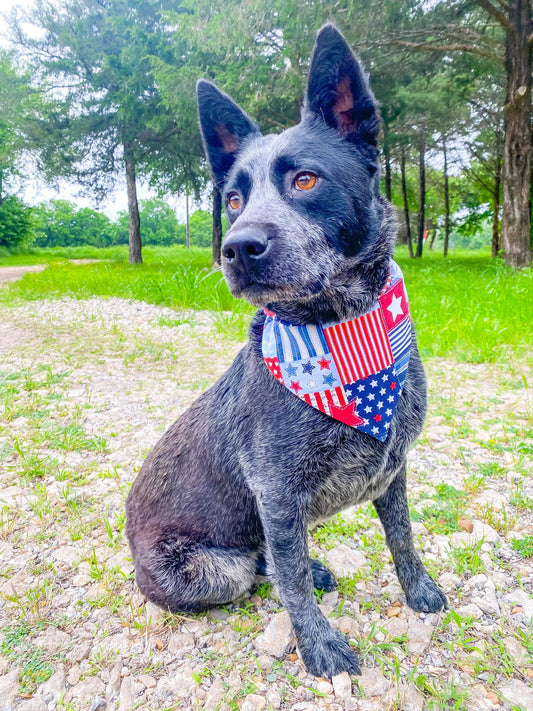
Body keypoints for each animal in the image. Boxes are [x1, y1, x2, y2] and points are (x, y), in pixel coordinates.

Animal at [127, 23, 446, 680]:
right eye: (232, 199)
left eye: (305, 180)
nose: (236, 248)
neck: (342, 329)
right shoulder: (276, 495)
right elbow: (291, 581)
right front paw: (318, 644)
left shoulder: (394, 469)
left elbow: (402, 538)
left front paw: (419, 592)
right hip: (212, 569)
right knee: (257, 568)